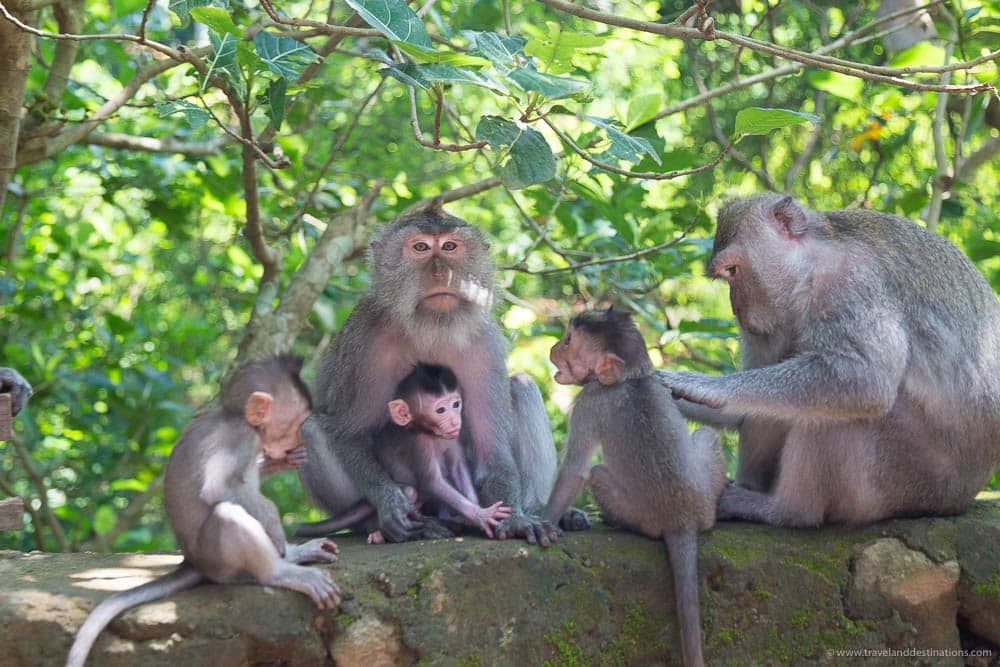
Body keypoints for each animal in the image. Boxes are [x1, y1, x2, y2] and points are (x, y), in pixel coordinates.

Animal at [66, 357, 341, 667]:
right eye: (297, 424)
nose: (299, 441)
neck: (238, 418)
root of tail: (192, 561)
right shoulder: (240, 438)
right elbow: (217, 488)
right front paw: (273, 518)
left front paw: (279, 463)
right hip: (218, 559)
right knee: (228, 513)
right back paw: (280, 572)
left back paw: (295, 554)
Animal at [297, 363, 513, 542]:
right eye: (440, 410)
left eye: (456, 404)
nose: (454, 421)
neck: (431, 433)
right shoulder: (420, 444)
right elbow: (432, 482)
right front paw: (480, 516)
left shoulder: (452, 439)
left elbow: (458, 469)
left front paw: (477, 513)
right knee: (410, 492)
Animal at [543, 308, 726, 667]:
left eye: (569, 341)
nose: (554, 347)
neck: (630, 379)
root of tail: (681, 518)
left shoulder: (589, 401)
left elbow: (575, 470)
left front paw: (542, 522)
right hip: (704, 498)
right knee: (706, 436)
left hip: (640, 515)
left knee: (597, 473)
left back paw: (613, 520)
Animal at [659, 194, 1000, 528]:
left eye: (732, 271)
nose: (736, 309)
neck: (813, 262)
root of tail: (960, 499)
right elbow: (747, 408)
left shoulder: (848, 283)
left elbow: (866, 379)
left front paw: (704, 386)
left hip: (907, 478)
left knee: (845, 409)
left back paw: (786, 510)